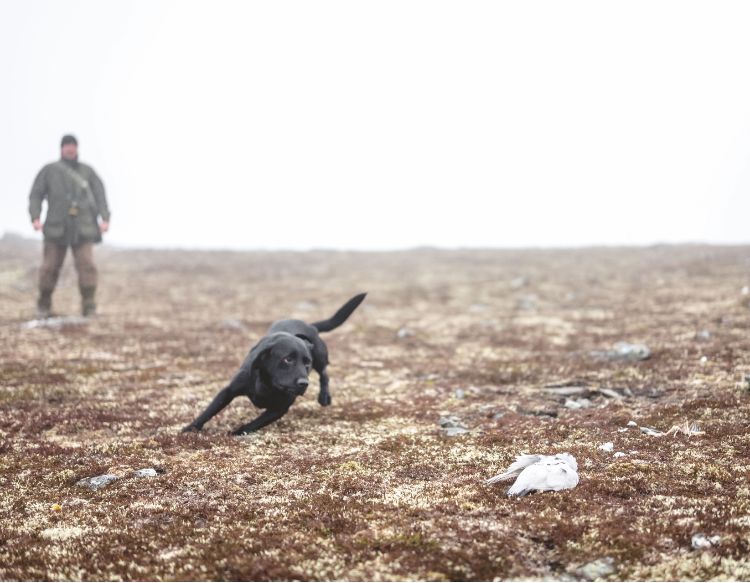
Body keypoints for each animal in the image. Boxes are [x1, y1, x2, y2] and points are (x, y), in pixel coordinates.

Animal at [185, 294, 368, 436]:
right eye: (287, 359)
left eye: (306, 363)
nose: (304, 383)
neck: (269, 384)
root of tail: (310, 325)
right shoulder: (228, 390)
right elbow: (209, 410)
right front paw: (190, 428)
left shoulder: (280, 408)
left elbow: (256, 423)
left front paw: (237, 432)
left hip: (320, 356)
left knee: (324, 374)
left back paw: (324, 397)